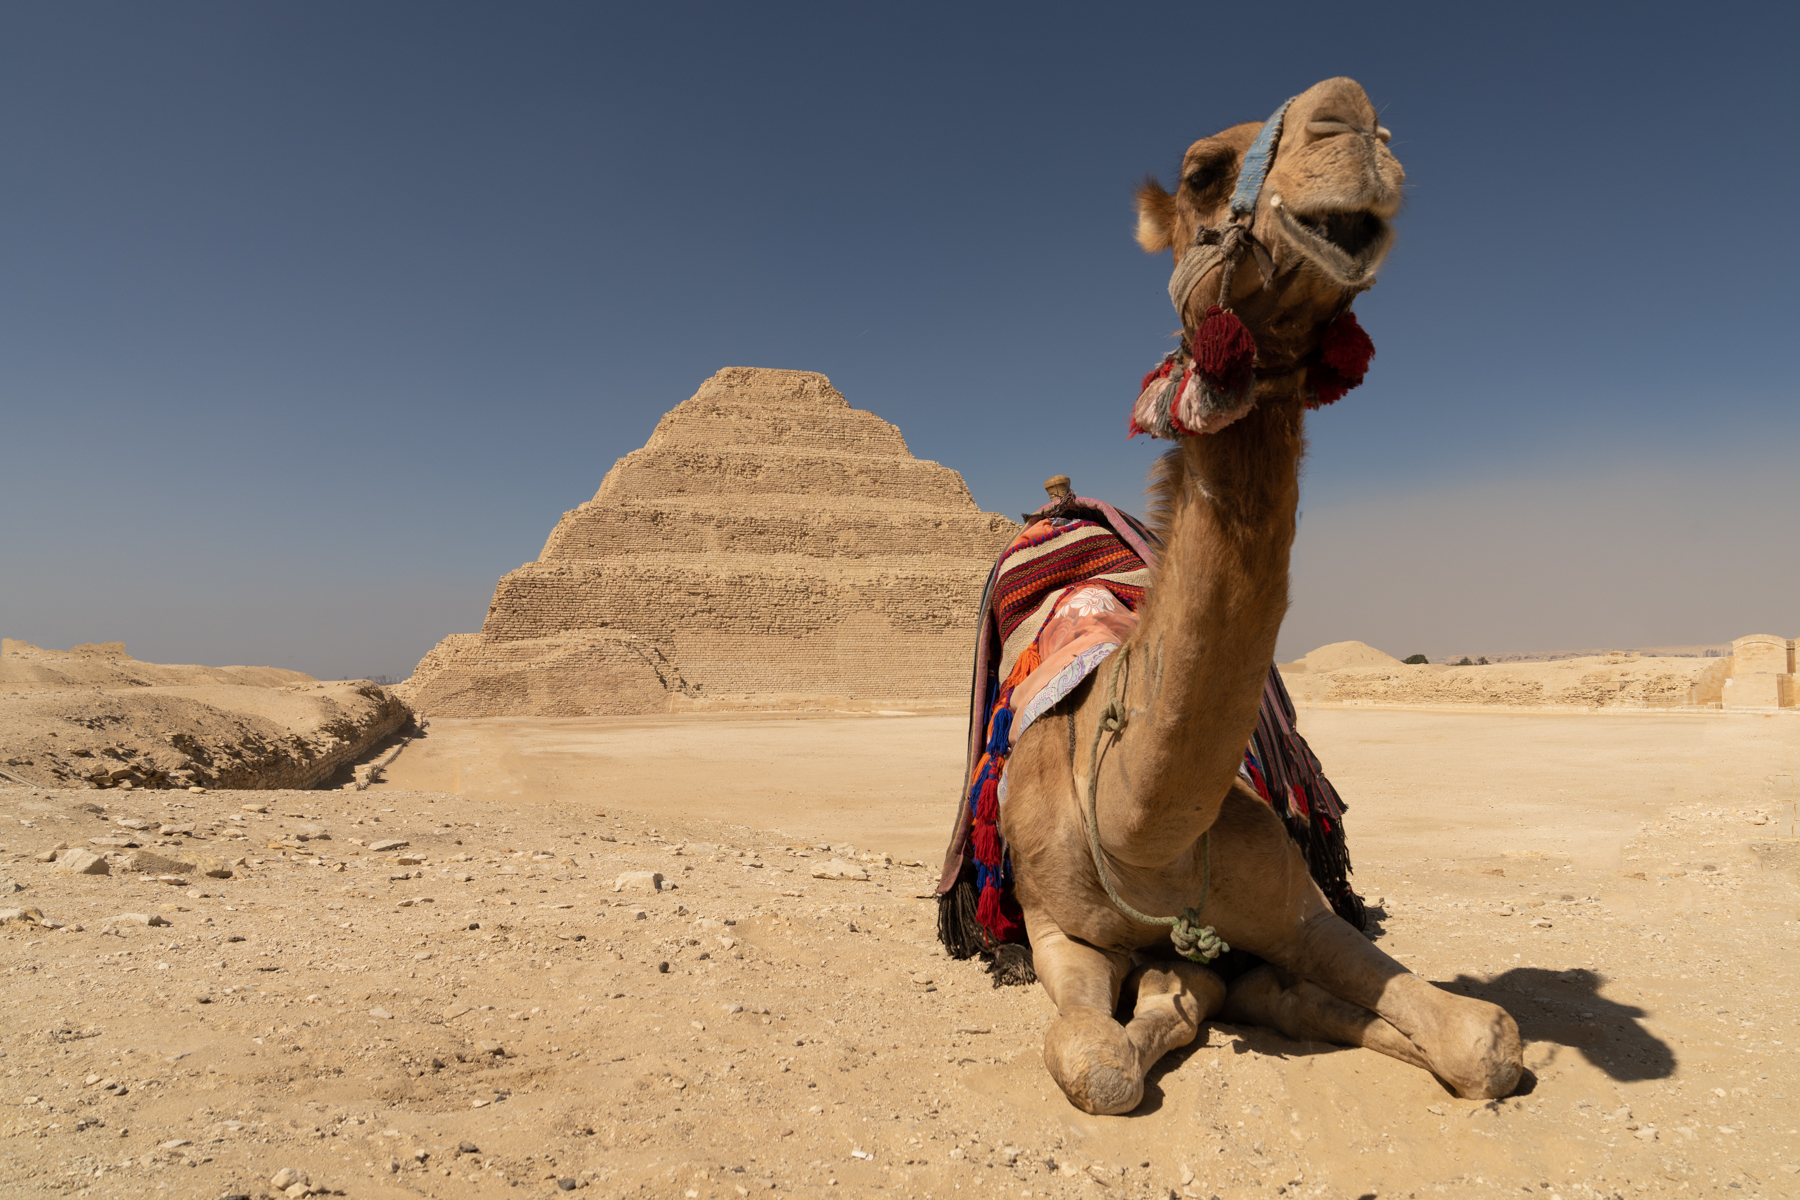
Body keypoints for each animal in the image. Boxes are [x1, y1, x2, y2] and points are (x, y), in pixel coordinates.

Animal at [996, 77, 1524, 1115]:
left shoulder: (1294, 910)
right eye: (1203, 172)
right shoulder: (1051, 928)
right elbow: (1097, 1061)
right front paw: (1150, 1012)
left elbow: (1482, 1038)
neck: (1138, 832)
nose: (1355, 119)